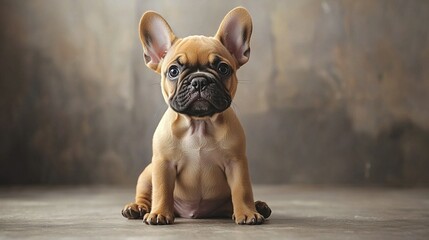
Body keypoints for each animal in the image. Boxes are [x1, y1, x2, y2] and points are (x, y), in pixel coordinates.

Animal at [121, 7, 270, 225]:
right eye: (173, 71)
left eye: (223, 68)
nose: (199, 81)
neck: (200, 124)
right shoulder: (163, 164)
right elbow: (162, 190)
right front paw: (159, 213)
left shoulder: (236, 163)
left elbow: (242, 190)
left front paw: (248, 213)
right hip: (148, 173)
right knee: (146, 193)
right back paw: (137, 207)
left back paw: (258, 206)